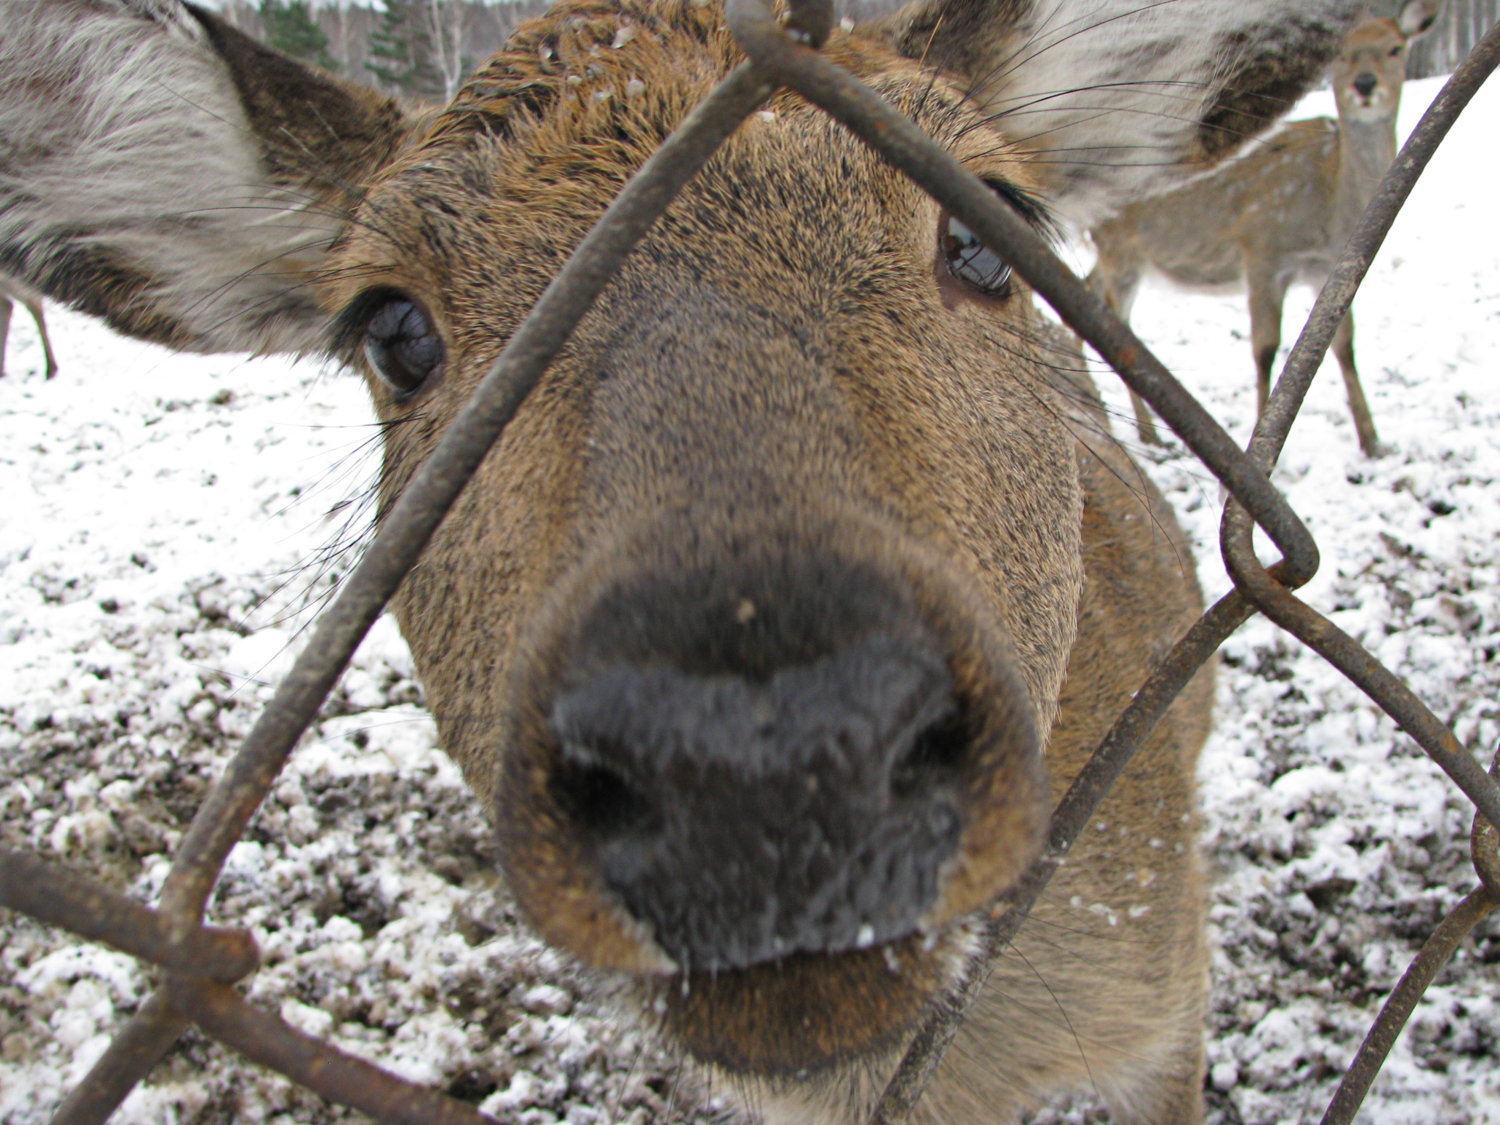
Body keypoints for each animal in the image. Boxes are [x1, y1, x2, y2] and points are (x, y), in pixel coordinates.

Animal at [1092, 0, 1440, 459]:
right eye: (1341, 55)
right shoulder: (1261, 249)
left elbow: (1344, 345)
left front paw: (1372, 441)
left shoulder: (1327, 269)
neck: (1332, 210)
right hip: (1121, 250)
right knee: (1117, 322)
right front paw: (1262, 445)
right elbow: (1265, 349)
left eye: (1396, 48)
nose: (1365, 84)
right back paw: (1149, 434)